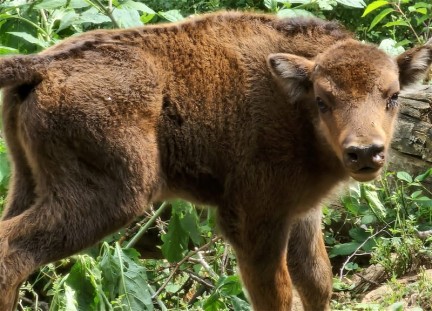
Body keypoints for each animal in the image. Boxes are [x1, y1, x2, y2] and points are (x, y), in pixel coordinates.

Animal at [0, 11, 432, 311]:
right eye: (323, 100)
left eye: (392, 96)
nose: (365, 152)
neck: (293, 101)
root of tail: (43, 64)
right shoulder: (255, 219)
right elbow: (277, 294)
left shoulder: (301, 211)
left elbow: (316, 281)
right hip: (111, 197)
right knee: (13, 251)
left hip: (29, 182)